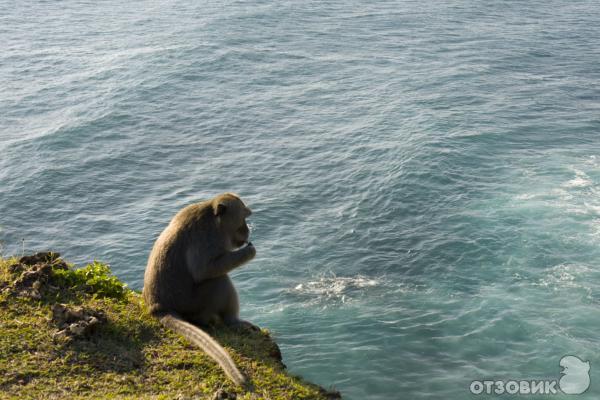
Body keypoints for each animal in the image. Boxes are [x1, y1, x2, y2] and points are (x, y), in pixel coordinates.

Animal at [145, 192, 258, 386]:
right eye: (243, 217)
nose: (247, 230)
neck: (214, 220)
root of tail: (158, 306)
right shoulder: (206, 238)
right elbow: (204, 270)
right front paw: (249, 252)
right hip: (193, 304)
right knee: (219, 280)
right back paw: (233, 321)